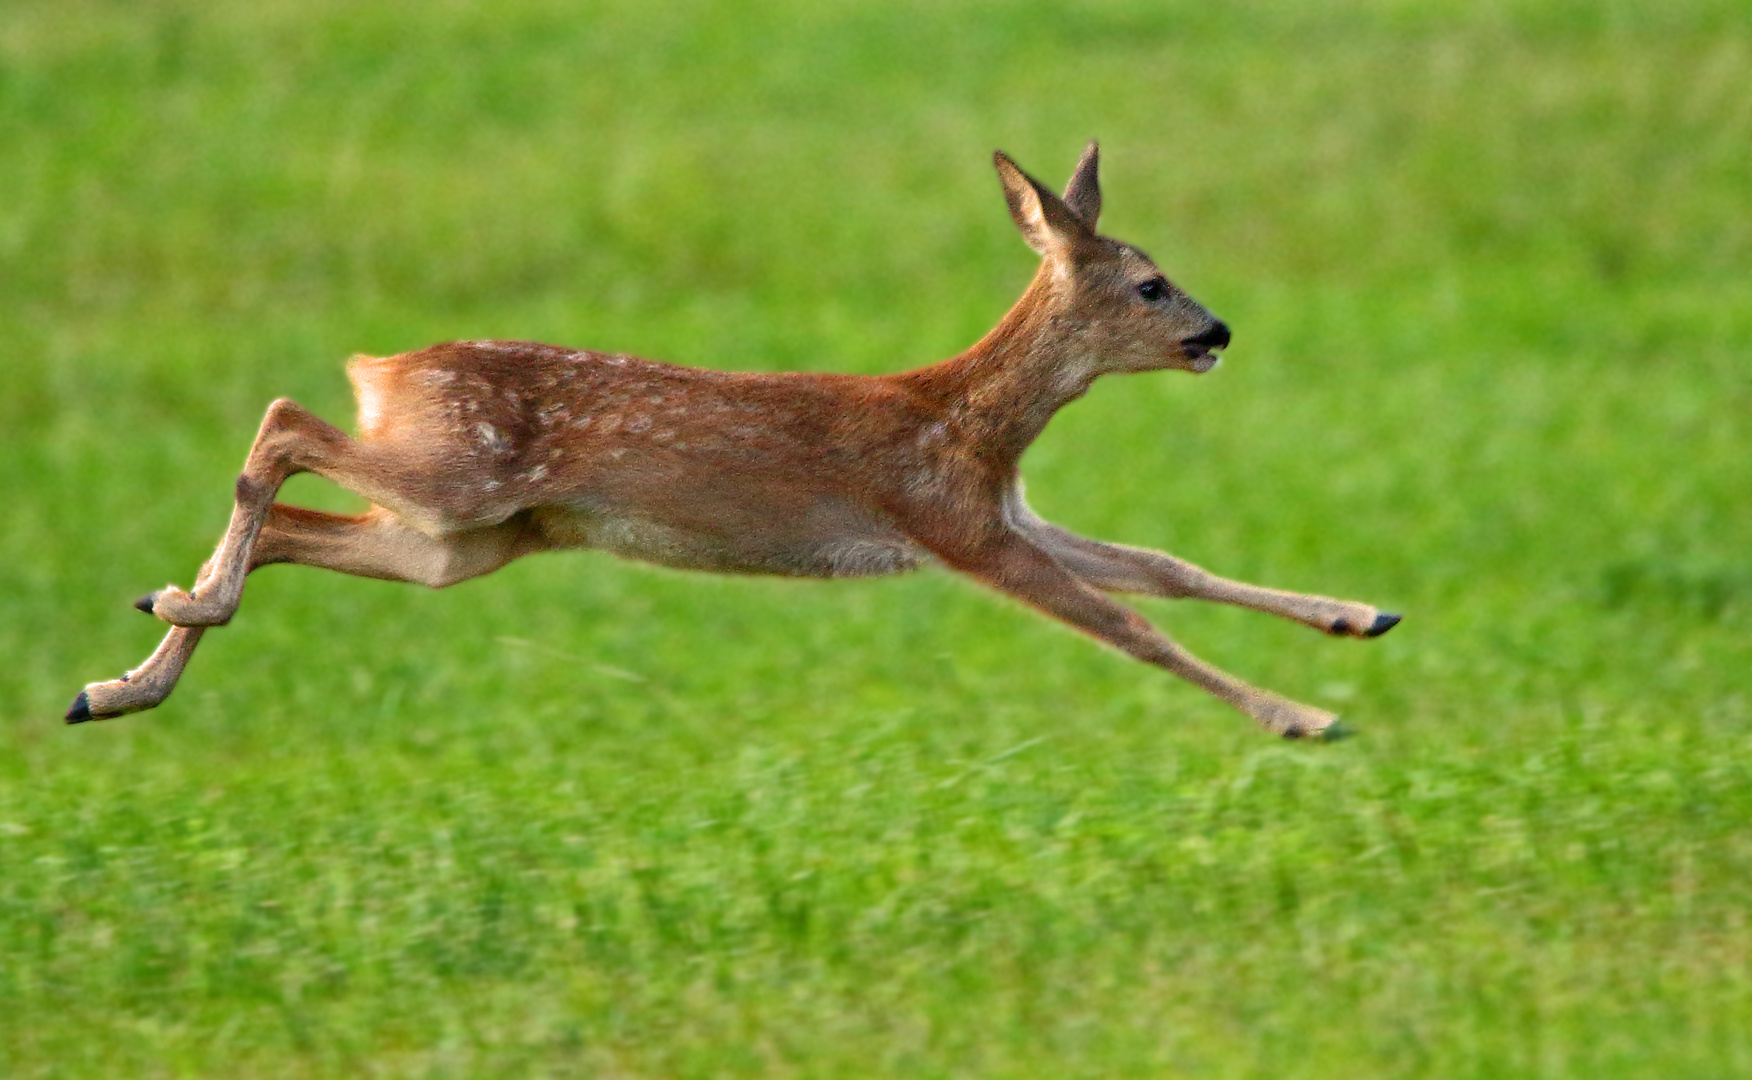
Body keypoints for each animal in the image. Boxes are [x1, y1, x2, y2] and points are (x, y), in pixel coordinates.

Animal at [71, 141, 1394, 732]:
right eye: (1151, 284)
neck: (973, 421)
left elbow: (1165, 568)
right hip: (457, 473)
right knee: (285, 424)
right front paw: (1304, 718)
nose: (1218, 332)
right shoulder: (950, 520)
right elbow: (1130, 627)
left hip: (468, 539)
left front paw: (1361, 616)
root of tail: (384, 368)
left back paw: (124, 672)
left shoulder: (998, 509)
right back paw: (176, 613)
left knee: (299, 512)